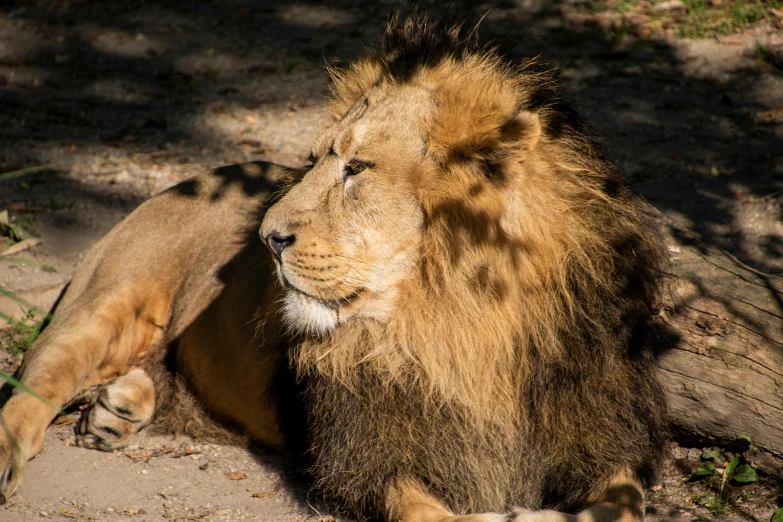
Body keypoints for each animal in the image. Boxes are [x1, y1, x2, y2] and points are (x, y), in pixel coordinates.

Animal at [0, 10, 668, 520]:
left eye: (357, 168)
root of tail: (198, 176)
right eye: (317, 160)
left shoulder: (598, 428)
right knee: (35, 386)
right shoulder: (371, 458)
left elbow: (624, 501)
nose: (267, 236)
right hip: (103, 302)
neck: (465, 323)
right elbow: (437, 514)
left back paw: (119, 408)